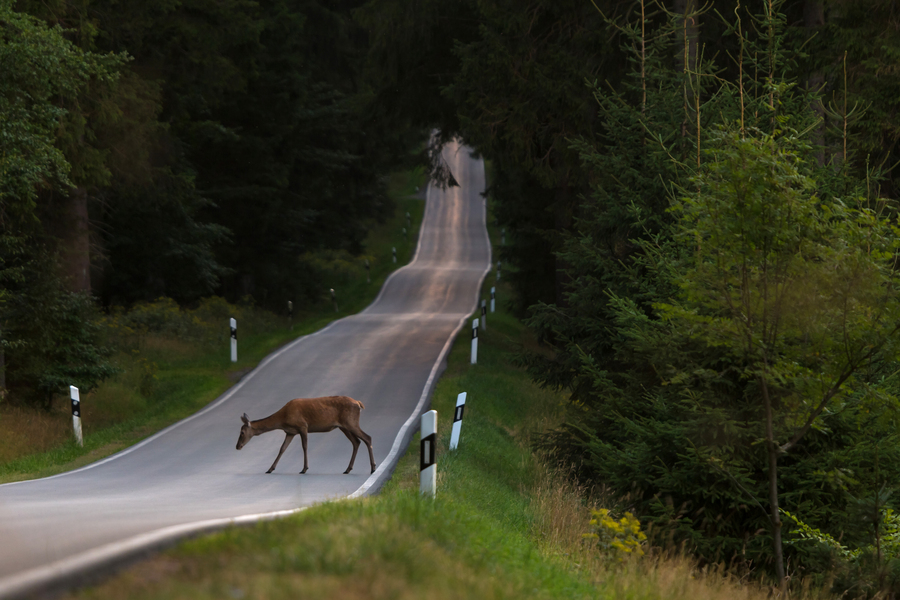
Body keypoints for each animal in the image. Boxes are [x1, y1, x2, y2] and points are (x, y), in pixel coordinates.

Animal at [236, 396, 376, 476]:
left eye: (242, 433)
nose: (237, 446)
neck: (283, 419)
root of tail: (358, 403)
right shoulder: (290, 432)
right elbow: (282, 449)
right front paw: (270, 469)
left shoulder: (302, 426)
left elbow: (304, 446)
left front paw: (304, 469)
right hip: (344, 426)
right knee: (356, 442)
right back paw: (348, 469)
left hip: (350, 422)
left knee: (367, 438)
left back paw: (373, 468)